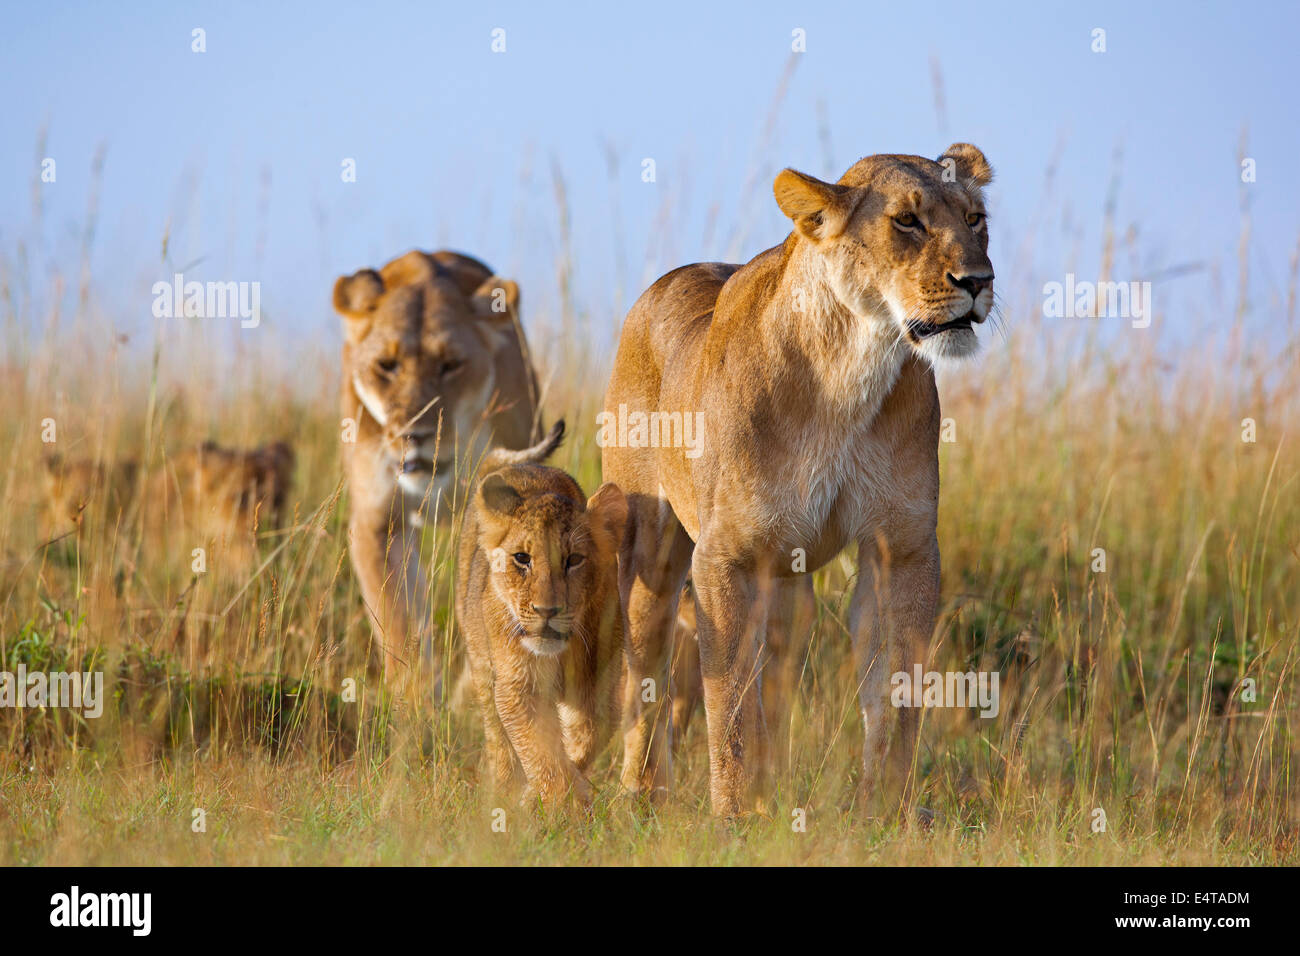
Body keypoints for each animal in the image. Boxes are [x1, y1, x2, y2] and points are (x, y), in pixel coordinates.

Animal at [332, 250, 540, 690]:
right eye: (387, 365)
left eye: (450, 365)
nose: (416, 434)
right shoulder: (379, 522)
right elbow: (398, 621)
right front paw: (417, 697)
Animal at [456, 422, 628, 808]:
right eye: (522, 558)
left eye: (574, 560)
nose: (547, 611)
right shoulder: (519, 685)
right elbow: (541, 751)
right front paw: (556, 801)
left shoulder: (599, 686)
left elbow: (583, 737)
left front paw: (563, 792)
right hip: (482, 666)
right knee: (498, 740)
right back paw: (505, 789)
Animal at [603, 144, 995, 816]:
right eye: (907, 221)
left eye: (974, 219)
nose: (977, 281)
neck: (850, 371)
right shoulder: (725, 556)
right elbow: (730, 700)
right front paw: (731, 815)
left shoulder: (904, 545)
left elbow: (897, 689)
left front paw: (885, 810)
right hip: (652, 547)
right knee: (647, 668)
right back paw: (641, 792)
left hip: (788, 580)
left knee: (779, 668)